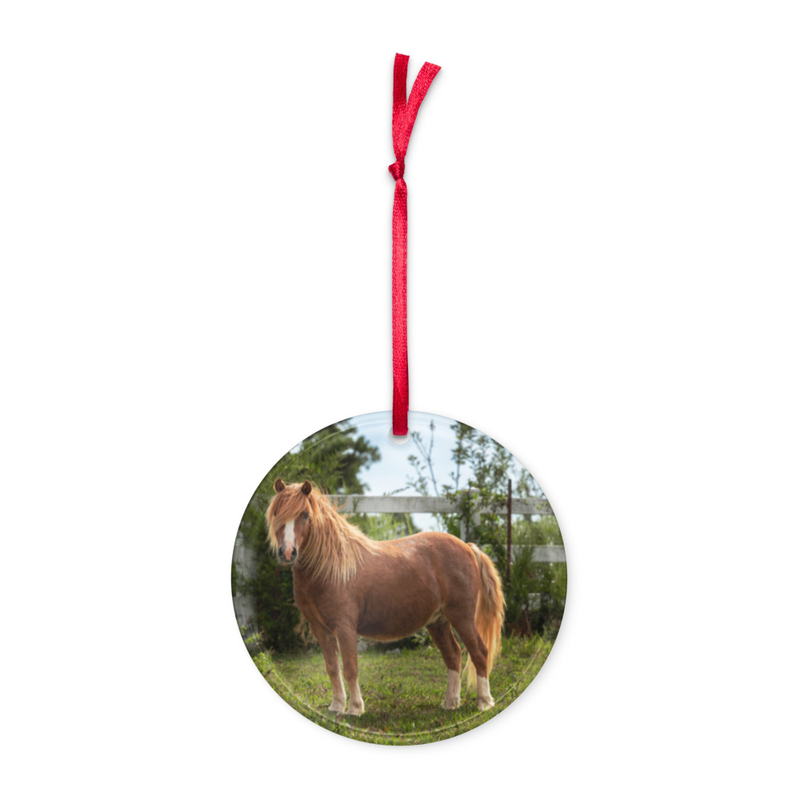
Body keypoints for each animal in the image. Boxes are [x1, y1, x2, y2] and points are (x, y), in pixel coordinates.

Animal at [266, 479, 505, 716]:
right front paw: (336, 707)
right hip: (438, 621)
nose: (287, 553)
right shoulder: (321, 629)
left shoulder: (345, 628)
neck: (330, 568)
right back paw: (451, 702)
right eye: (276, 512)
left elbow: (350, 668)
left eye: (305, 514)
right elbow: (332, 668)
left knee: (479, 652)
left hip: (461, 617)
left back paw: (484, 702)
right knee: (453, 654)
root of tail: (468, 547)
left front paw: (355, 709)